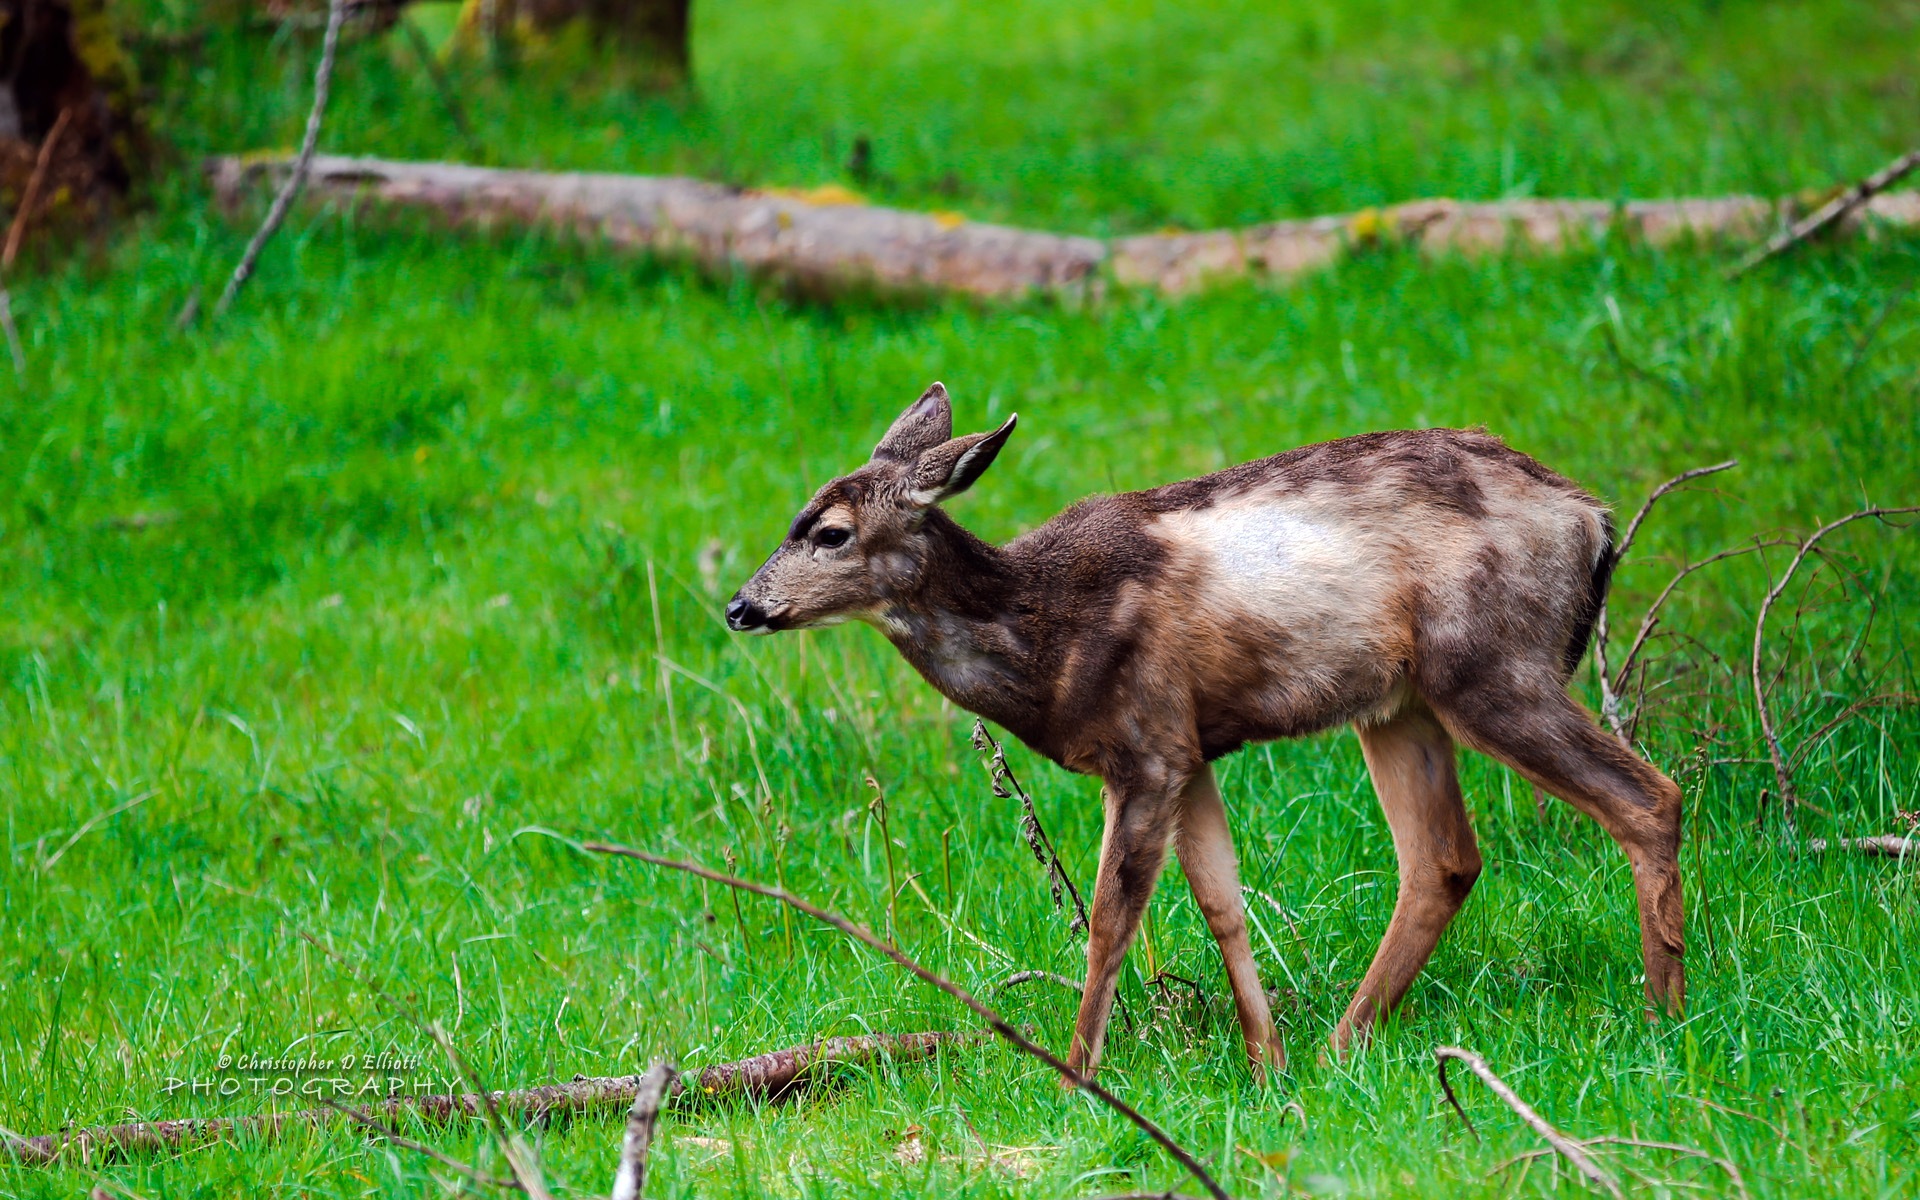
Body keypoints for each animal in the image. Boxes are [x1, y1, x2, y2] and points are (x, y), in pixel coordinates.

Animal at [725, 382, 1689, 1075]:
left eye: (831, 532)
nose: (740, 607)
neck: (1048, 635)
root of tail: (1592, 517)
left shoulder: (1146, 743)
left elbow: (1112, 916)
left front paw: (1078, 1075)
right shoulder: (1189, 749)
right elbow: (1222, 902)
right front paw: (1266, 1064)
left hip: (1493, 666)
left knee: (1649, 798)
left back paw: (1664, 1014)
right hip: (1402, 703)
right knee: (1443, 860)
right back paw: (1339, 1049)